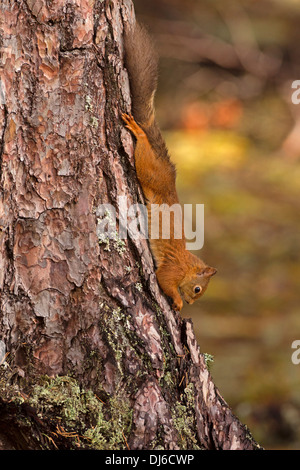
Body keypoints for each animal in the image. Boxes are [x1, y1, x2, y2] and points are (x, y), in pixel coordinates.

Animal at [121, 22, 216, 310]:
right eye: (197, 289)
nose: (193, 303)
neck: (187, 264)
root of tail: (168, 172)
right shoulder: (171, 270)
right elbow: (164, 281)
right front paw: (177, 302)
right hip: (149, 172)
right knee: (143, 152)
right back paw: (138, 132)